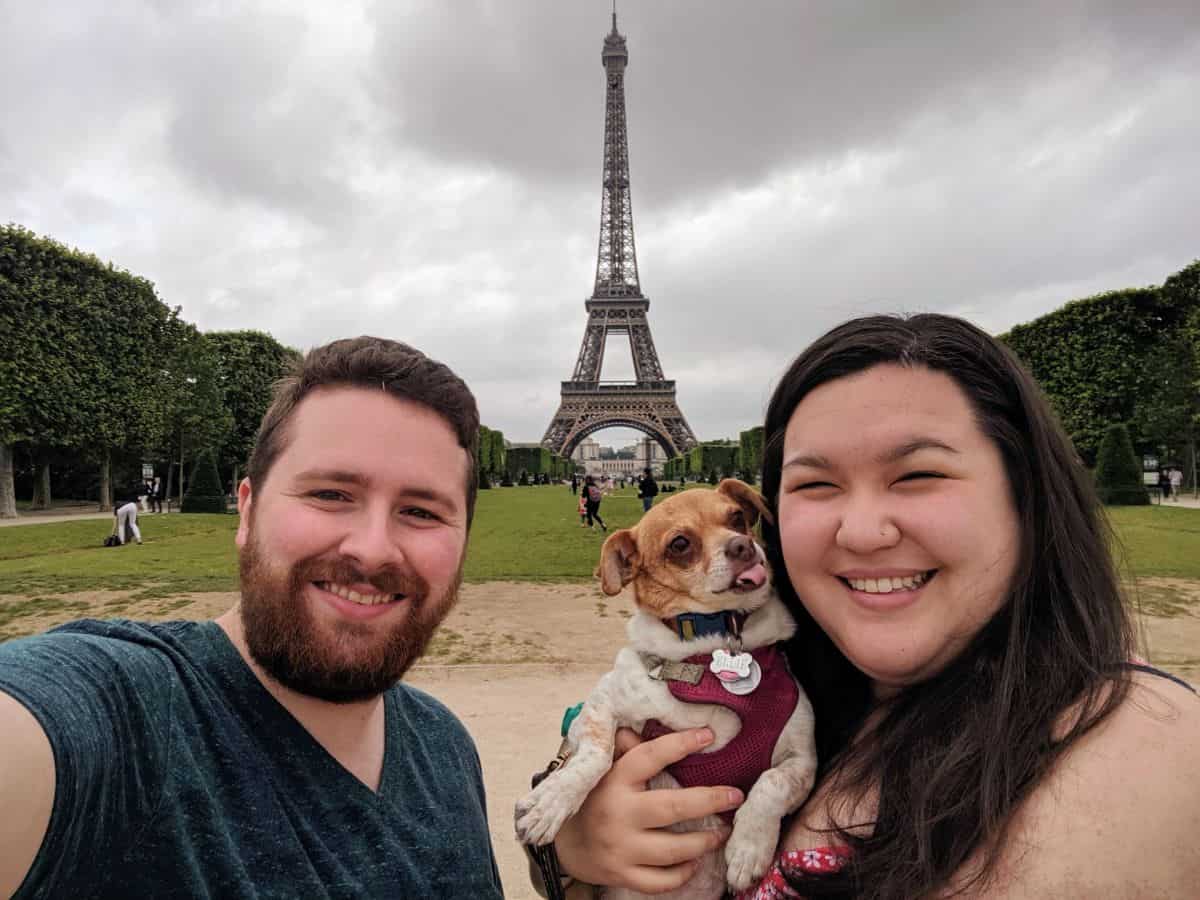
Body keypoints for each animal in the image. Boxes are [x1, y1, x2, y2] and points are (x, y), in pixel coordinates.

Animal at [516, 482, 816, 897]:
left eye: (737, 517)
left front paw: (748, 848)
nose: (742, 545)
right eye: (680, 544)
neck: (711, 647)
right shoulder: (601, 704)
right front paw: (552, 800)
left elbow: (772, 783)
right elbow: (594, 756)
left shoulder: (801, 761)